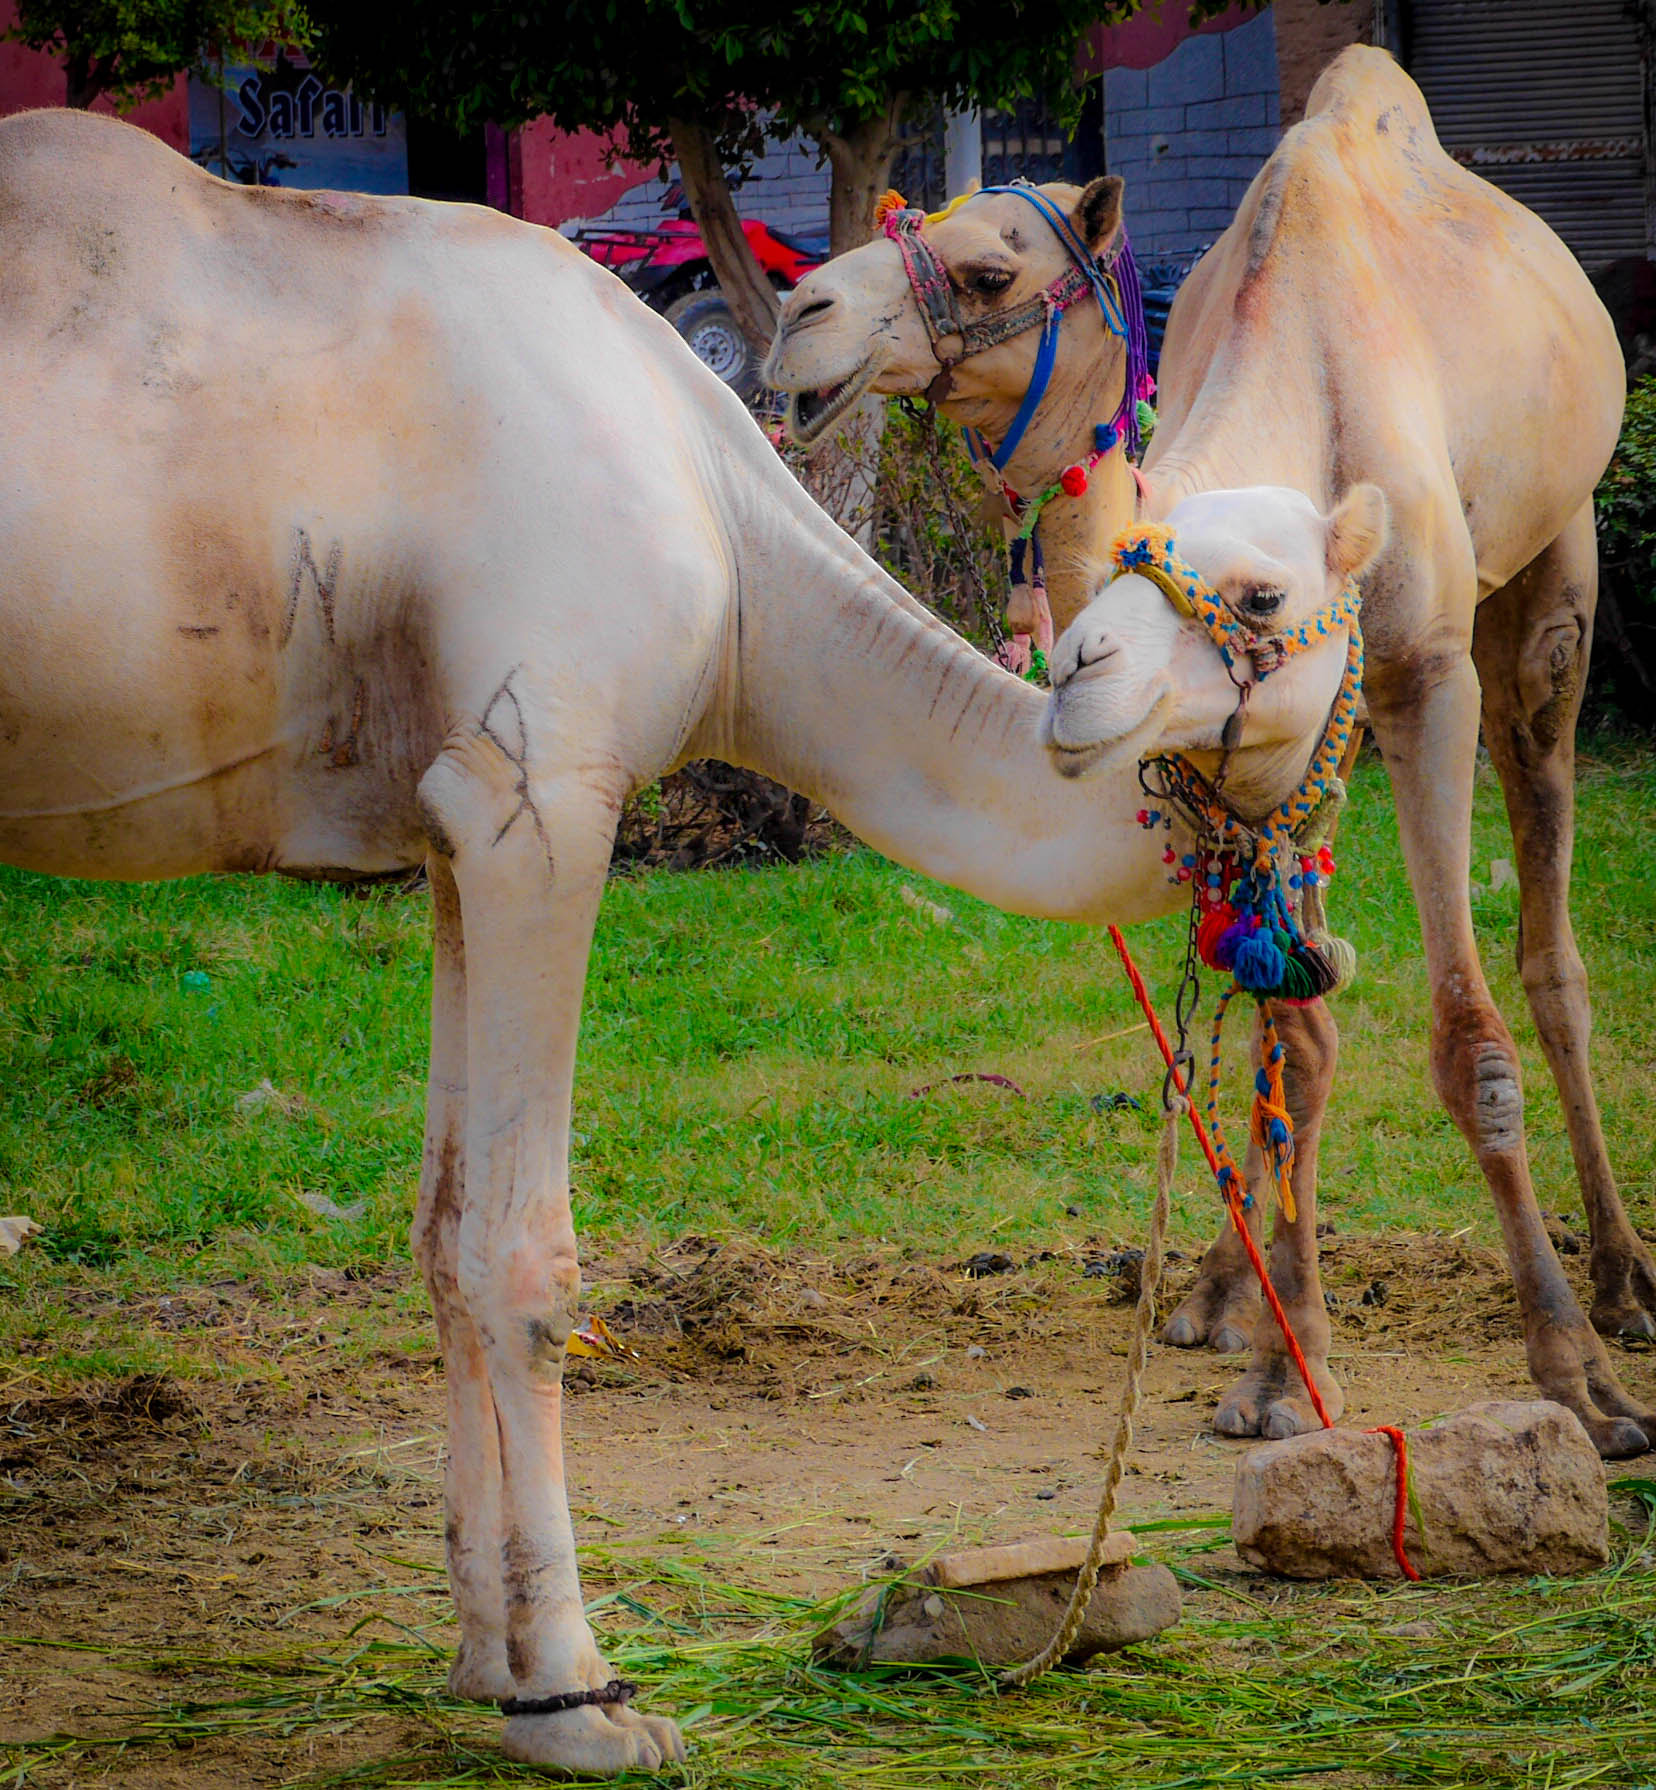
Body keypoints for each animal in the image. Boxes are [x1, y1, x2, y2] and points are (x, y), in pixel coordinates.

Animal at [0, 110, 1366, 1776]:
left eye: (1256, 589)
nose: (1090, 679)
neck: (731, 544)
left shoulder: (452, 824)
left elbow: (443, 1231)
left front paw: (486, 1658)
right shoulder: (543, 792)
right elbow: (523, 1254)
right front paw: (577, 1698)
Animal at [772, 49, 1655, 1459]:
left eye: (990, 270)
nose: (799, 311)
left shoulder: (1421, 678)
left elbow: (1467, 1042)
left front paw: (1577, 1381)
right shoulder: (1231, 749)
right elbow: (1293, 1027)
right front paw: (1288, 1364)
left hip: (1551, 564)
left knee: (1551, 943)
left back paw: (1622, 1281)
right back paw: (1220, 1290)